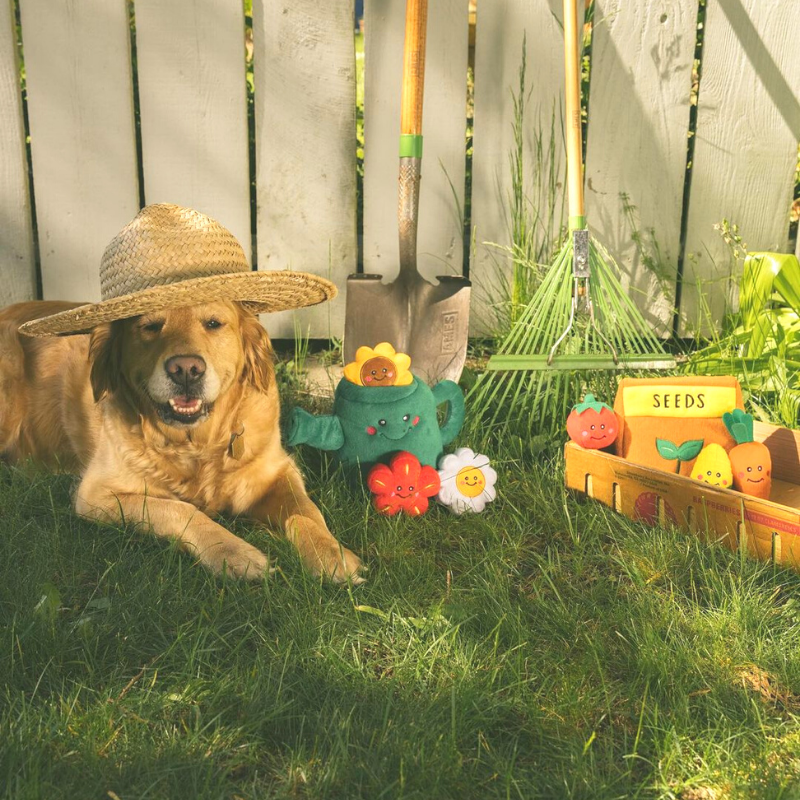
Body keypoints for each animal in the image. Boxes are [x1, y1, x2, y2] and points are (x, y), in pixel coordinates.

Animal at [0, 300, 362, 580]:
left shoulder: (279, 470)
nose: (186, 369)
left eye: (213, 323)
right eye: (150, 326)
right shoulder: (95, 494)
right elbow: (179, 508)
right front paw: (233, 552)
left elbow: (305, 511)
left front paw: (331, 553)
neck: (197, 445)